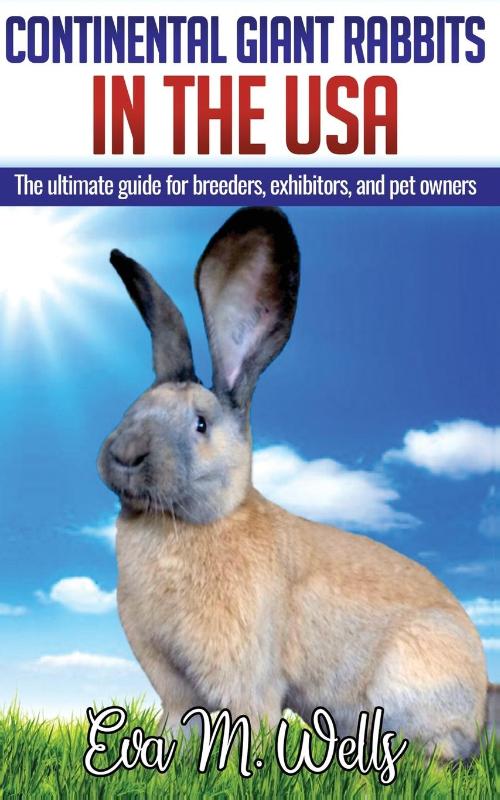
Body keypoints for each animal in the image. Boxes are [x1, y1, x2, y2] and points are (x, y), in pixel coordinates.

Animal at [98, 206, 487, 761]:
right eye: (132, 408)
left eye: (201, 424)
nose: (125, 454)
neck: (192, 522)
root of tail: (481, 700)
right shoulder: (171, 681)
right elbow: (180, 725)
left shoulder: (243, 674)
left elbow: (247, 721)